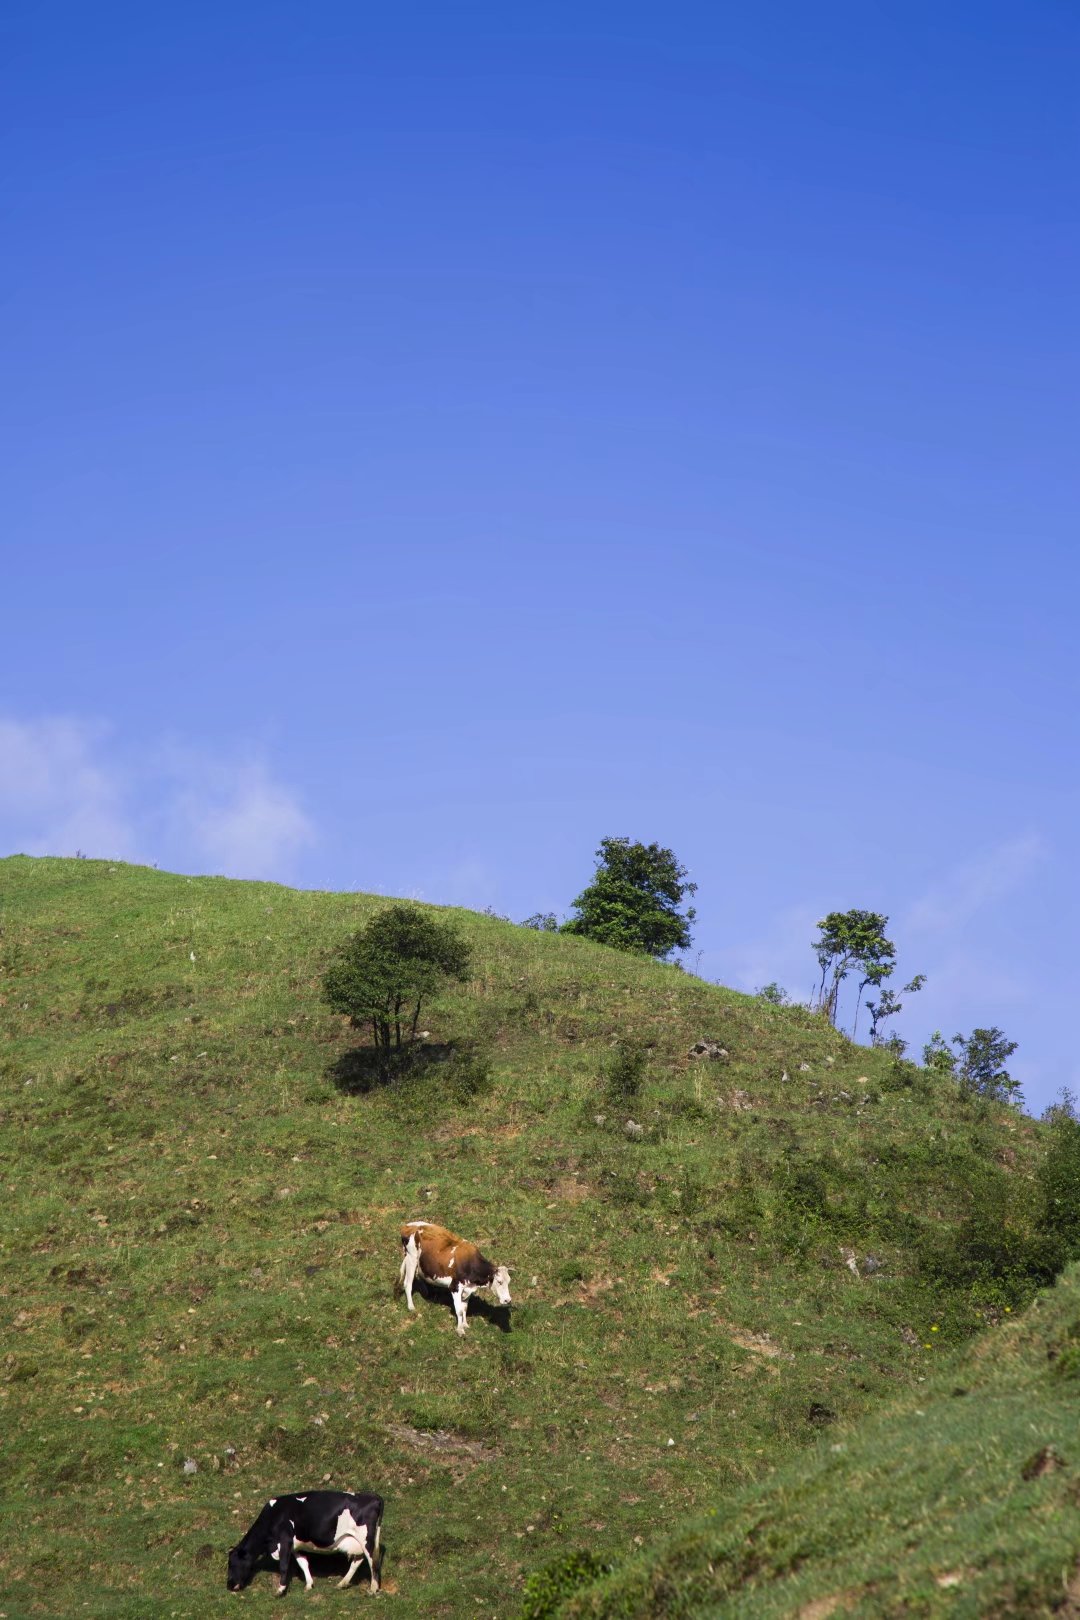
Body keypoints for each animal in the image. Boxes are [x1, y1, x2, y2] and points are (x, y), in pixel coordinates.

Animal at [223, 1490, 383, 1594]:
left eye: (232, 1564)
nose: (229, 1585)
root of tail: (374, 1496)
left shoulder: (285, 1540)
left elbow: (283, 1565)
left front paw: (280, 1589)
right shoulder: (295, 1546)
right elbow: (303, 1563)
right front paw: (309, 1584)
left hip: (366, 1538)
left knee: (372, 1562)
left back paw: (373, 1589)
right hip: (357, 1541)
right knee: (358, 1560)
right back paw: (342, 1583)